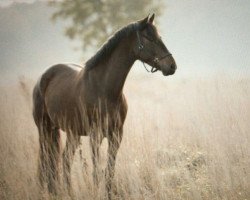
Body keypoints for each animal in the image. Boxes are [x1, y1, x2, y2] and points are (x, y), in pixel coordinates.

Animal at [32, 13, 176, 198]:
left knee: (64, 161)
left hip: (72, 133)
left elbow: (109, 171)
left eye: (159, 37)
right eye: (149, 38)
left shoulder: (116, 135)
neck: (104, 88)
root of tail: (43, 77)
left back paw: (67, 193)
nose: (172, 66)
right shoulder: (95, 136)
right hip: (44, 129)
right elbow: (96, 171)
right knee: (47, 162)